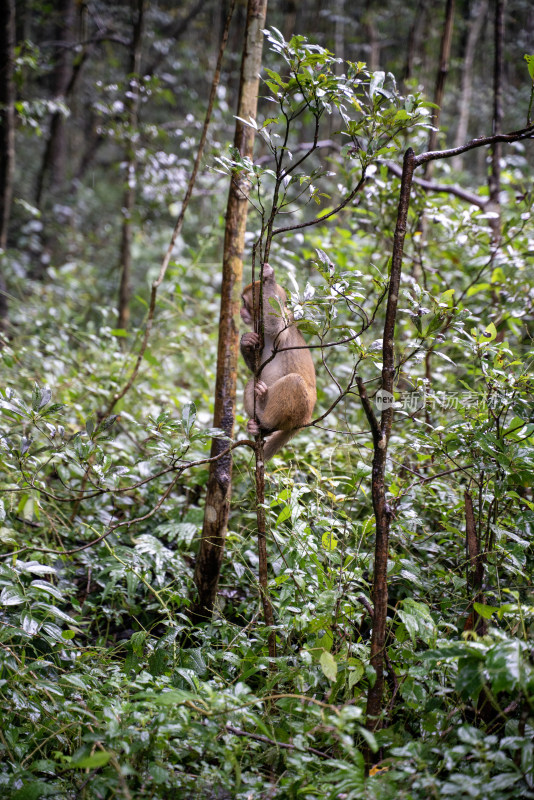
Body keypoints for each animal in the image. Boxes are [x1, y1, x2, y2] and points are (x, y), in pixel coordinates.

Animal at [241, 264, 316, 460]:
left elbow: (275, 324)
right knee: (252, 381)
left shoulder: (284, 322)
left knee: (294, 381)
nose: (241, 311)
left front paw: (269, 278)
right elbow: (255, 368)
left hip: (301, 411)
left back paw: (264, 419)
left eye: (244, 302)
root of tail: (307, 418)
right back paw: (260, 424)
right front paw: (245, 341)